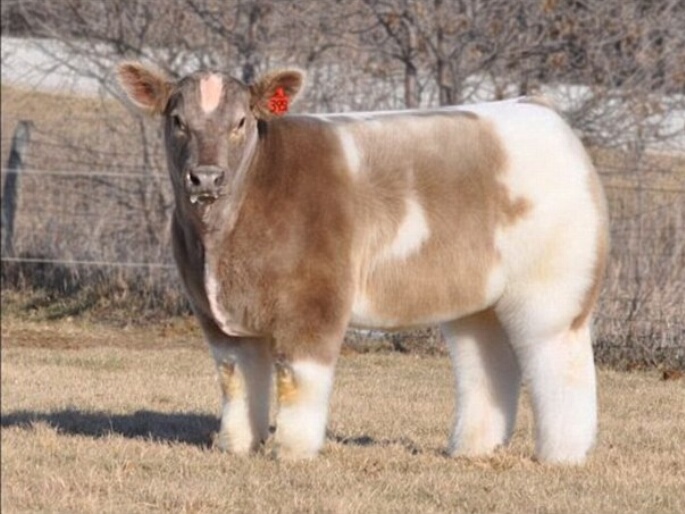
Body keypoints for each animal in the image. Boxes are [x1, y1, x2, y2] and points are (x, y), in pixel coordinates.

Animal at [117, 62, 609, 463]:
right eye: (177, 121)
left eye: (241, 122)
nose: (206, 177)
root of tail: (540, 109)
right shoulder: (215, 315)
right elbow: (236, 382)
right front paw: (236, 446)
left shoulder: (315, 302)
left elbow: (298, 380)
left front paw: (291, 451)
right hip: (478, 300)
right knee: (486, 363)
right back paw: (472, 449)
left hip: (553, 292)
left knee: (559, 366)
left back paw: (562, 455)